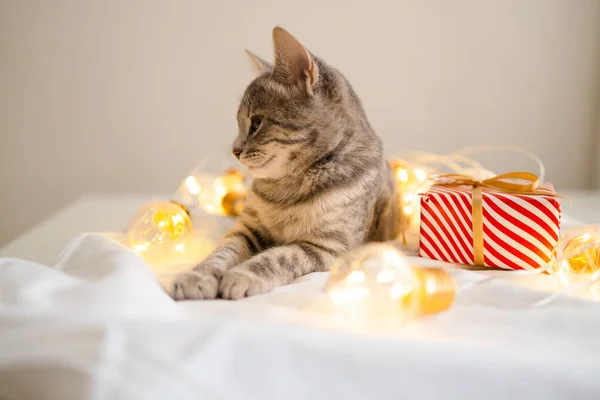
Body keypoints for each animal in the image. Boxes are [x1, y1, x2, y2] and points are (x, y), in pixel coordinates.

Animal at [171, 25, 400, 300]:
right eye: (239, 123)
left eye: (256, 122)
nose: (234, 150)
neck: (286, 188)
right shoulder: (246, 228)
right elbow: (222, 252)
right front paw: (198, 275)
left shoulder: (326, 246)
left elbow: (278, 257)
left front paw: (242, 275)